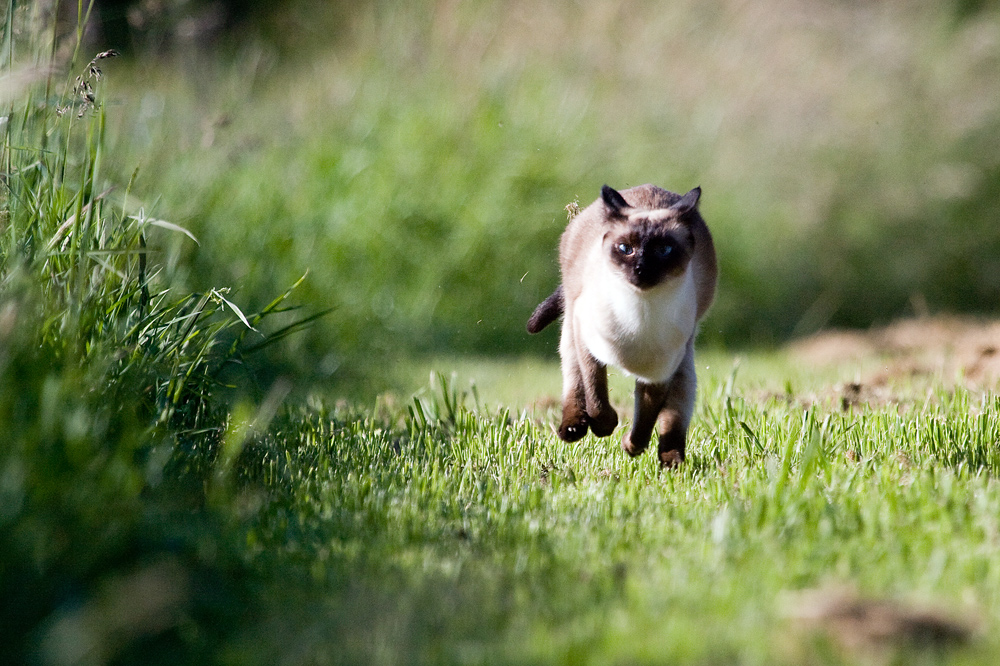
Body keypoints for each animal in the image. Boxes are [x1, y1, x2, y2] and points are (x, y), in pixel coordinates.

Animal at [528, 180, 716, 462]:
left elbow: (647, 416)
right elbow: (596, 395)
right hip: (572, 323)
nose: (641, 269)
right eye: (625, 249)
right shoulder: (588, 343)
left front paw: (632, 446)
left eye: (664, 250)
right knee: (573, 378)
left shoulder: (659, 373)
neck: (640, 313)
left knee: (675, 411)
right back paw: (572, 429)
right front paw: (605, 427)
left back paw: (672, 460)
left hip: (683, 362)